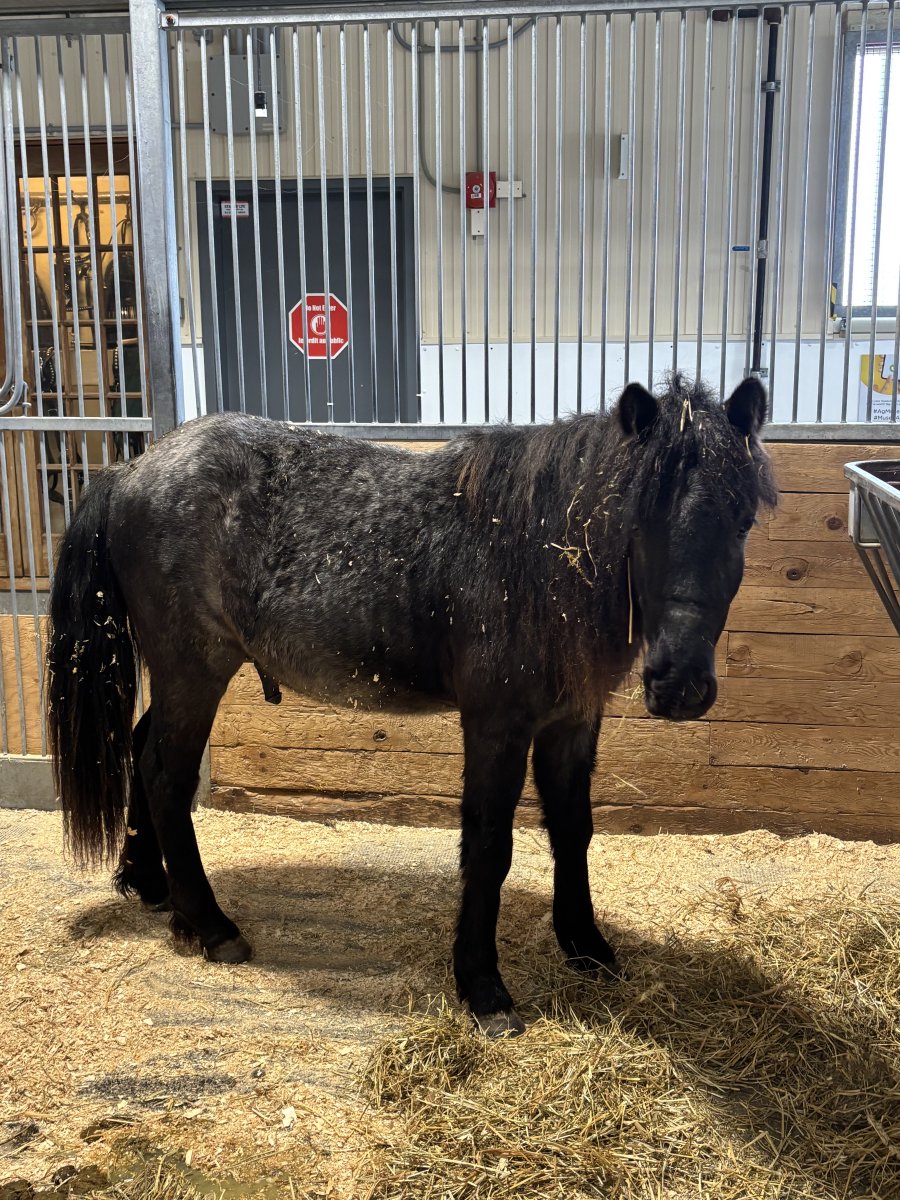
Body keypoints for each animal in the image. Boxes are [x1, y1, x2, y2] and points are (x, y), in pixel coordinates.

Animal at [47, 373, 776, 1037]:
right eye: (638, 521)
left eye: (743, 522)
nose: (679, 683)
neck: (535, 553)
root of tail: (131, 470)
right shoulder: (497, 725)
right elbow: (489, 844)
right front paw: (483, 988)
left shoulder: (572, 722)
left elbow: (573, 830)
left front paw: (587, 946)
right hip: (194, 669)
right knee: (166, 776)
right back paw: (211, 924)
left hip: (179, 676)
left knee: (141, 752)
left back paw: (152, 886)